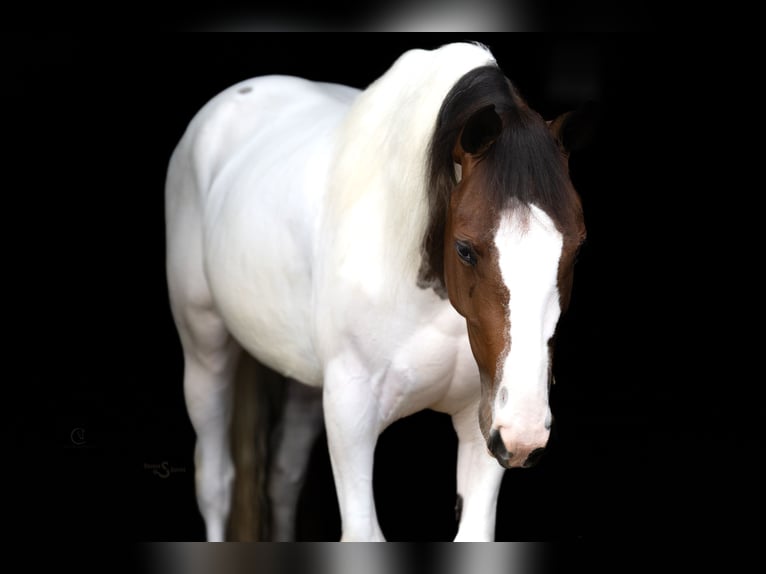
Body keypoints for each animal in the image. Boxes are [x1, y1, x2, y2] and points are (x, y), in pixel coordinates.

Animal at [164, 41, 587, 542]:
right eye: (465, 249)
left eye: (577, 247)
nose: (524, 432)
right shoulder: (352, 414)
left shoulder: (479, 421)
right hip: (205, 350)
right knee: (216, 482)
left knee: (283, 479)